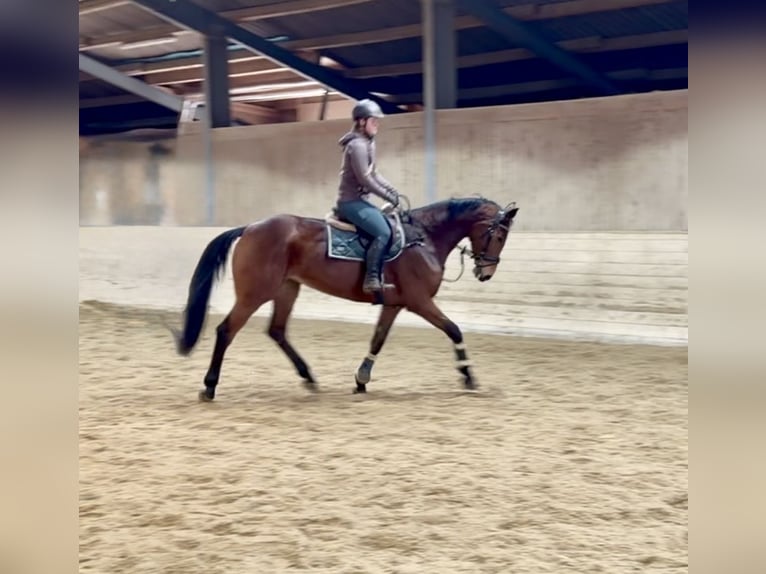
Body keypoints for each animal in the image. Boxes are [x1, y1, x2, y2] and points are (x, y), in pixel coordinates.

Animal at [171, 195, 519, 401]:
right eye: (500, 234)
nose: (486, 272)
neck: (424, 239)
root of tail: (250, 227)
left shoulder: (395, 304)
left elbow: (378, 339)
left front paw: (361, 379)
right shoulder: (420, 302)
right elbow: (454, 329)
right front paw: (468, 376)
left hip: (287, 289)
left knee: (277, 331)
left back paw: (309, 378)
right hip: (255, 293)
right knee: (226, 330)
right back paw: (210, 386)